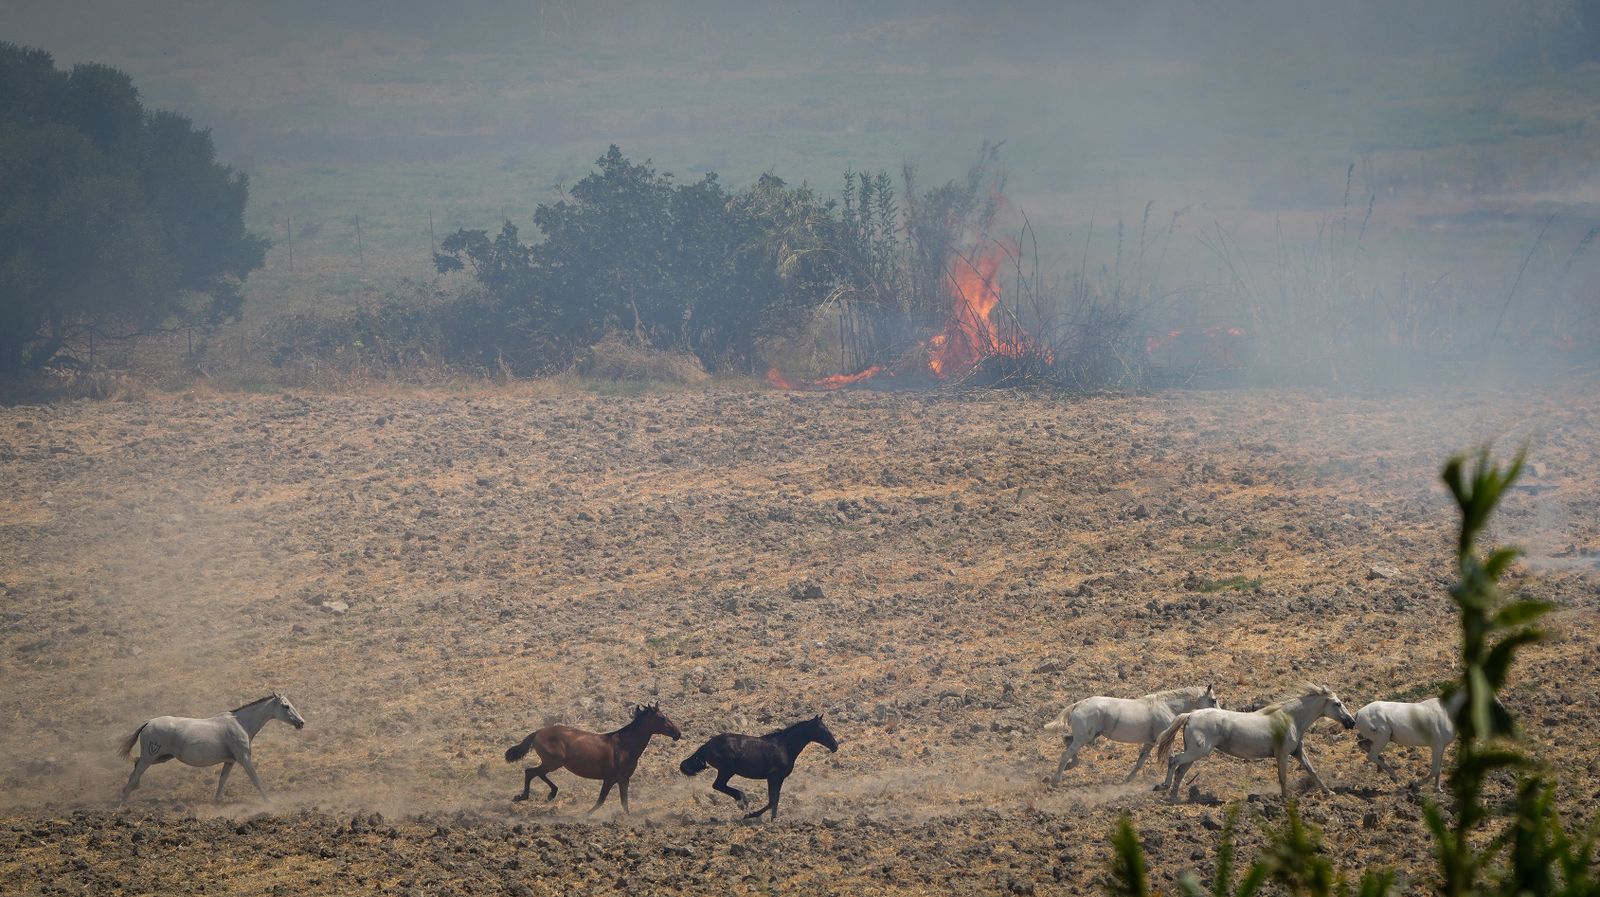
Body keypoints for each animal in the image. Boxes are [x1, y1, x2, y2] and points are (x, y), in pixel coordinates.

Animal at [118, 693, 306, 804]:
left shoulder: (230, 761)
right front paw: (269, 802)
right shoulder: (244, 758)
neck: (241, 724)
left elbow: (222, 781)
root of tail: (148, 723)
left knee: (135, 766)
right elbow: (255, 779)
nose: (301, 723)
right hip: (151, 757)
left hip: (161, 757)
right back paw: (123, 804)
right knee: (135, 774)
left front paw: (216, 802)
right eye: (286, 706)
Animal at [504, 702, 682, 813]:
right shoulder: (610, 778)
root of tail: (538, 733)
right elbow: (600, 801)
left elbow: (624, 803)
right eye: (662, 718)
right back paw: (524, 796)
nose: (678, 733)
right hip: (553, 762)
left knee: (537, 773)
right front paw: (586, 815)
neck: (624, 745)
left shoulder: (624, 779)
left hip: (551, 762)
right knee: (531, 772)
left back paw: (549, 793)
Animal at [679, 715, 838, 820]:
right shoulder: (773, 777)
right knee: (718, 785)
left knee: (719, 785)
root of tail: (706, 746)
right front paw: (753, 815)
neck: (785, 747)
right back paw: (743, 799)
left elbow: (775, 800)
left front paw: (773, 819)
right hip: (726, 770)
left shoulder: (778, 779)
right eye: (823, 730)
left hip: (726, 771)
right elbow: (772, 800)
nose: (835, 746)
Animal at [1043, 685, 1218, 785]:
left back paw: (1068, 768)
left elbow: (1140, 761)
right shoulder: (1164, 740)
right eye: (1213, 700)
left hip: (1087, 737)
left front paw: (1127, 780)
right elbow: (1171, 758)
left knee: (1067, 743)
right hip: (1083, 738)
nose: (1218, 713)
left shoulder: (1150, 742)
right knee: (1066, 753)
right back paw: (1056, 780)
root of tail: (1078, 704)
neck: (1167, 706)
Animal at [1154, 684, 1356, 801]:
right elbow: (1283, 777)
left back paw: (1173, 797)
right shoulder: (1282, 754)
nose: (1351, 722)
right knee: (1174, 760)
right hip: (1197, 752)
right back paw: (1163, 787)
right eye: (1338, 704)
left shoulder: (1297, 752)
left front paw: (1328, 792)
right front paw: (1286, 799)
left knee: (1180, 771)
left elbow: (1312, 771)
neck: (1290, 719)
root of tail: (1190, 715)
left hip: (1194, 753)